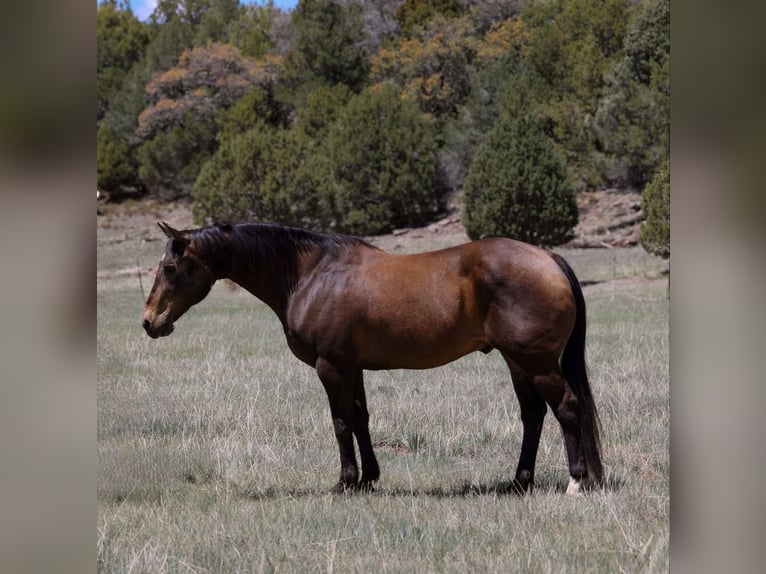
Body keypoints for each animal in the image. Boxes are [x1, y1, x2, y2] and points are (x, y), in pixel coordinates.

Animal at [142, 221, 603, 495]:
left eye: (169, 268)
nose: (149, 322)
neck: (311, 275)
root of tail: (550, 259)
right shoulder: (353, 368)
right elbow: (361, 419)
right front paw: (368, 479)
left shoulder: (330, 367)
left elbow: (341, 422)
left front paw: (344, 483)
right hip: (517, 361)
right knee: (533, 415)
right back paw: (519, 482)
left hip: (537, 362)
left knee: (566, 408)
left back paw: (576, 482)